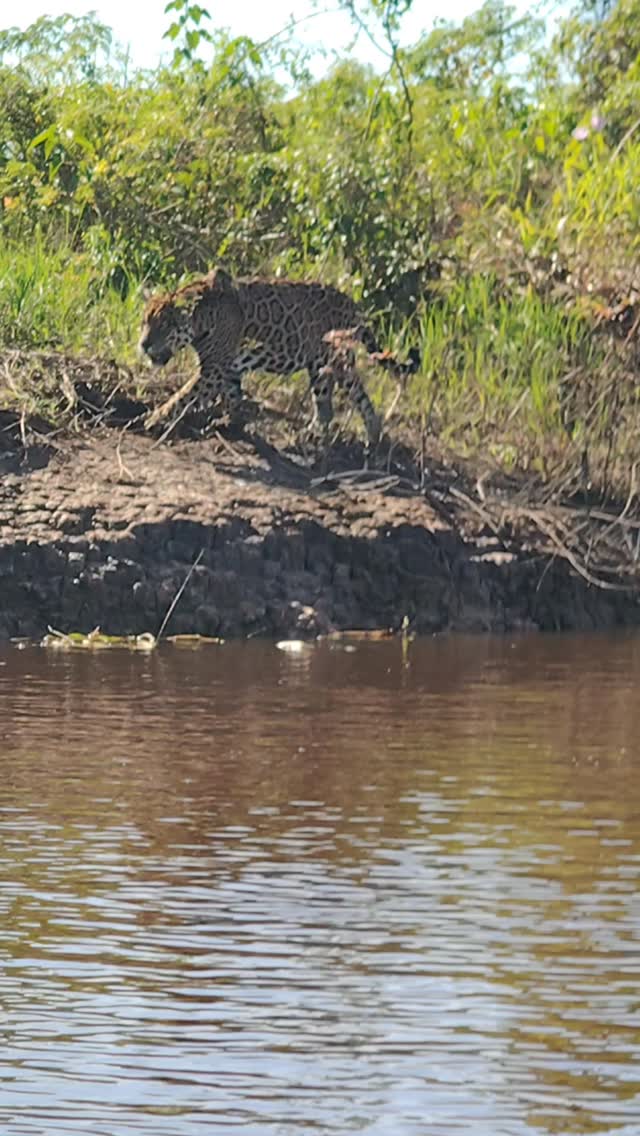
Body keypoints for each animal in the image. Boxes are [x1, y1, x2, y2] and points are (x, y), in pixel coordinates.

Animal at [138, 267, 420, 443]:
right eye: (145, 322)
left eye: (163, 326)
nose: (142, 345)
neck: (202, 316)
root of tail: (353, 304)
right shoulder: (227, 368)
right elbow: (232, 395)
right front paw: (231, 422)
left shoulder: (214, 368)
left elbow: (184, 395)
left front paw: (153, 419)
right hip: (320, 367)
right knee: (333, 403)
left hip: (333, 362)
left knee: (349, 397)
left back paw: (355, 435)